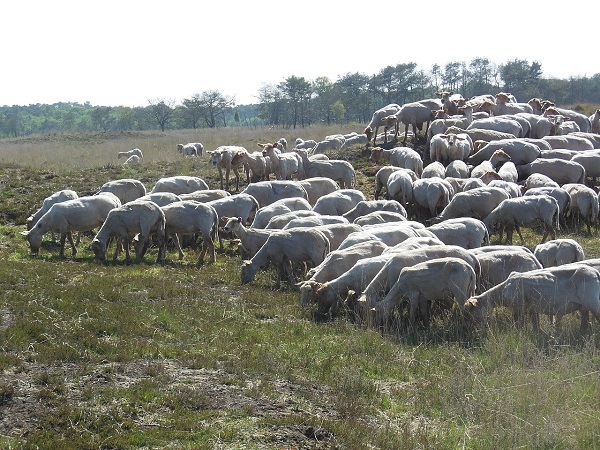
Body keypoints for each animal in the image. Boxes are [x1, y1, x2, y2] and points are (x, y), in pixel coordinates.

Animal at [466, 264, 600, 330]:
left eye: (473, 312)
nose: (476, 329)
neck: (503, 291)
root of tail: (596, 273)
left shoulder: (518, 308)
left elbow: (518, 325)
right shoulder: (532, 309)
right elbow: (536, 326)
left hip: (593, 303)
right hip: (584, 307)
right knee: (585, 325)